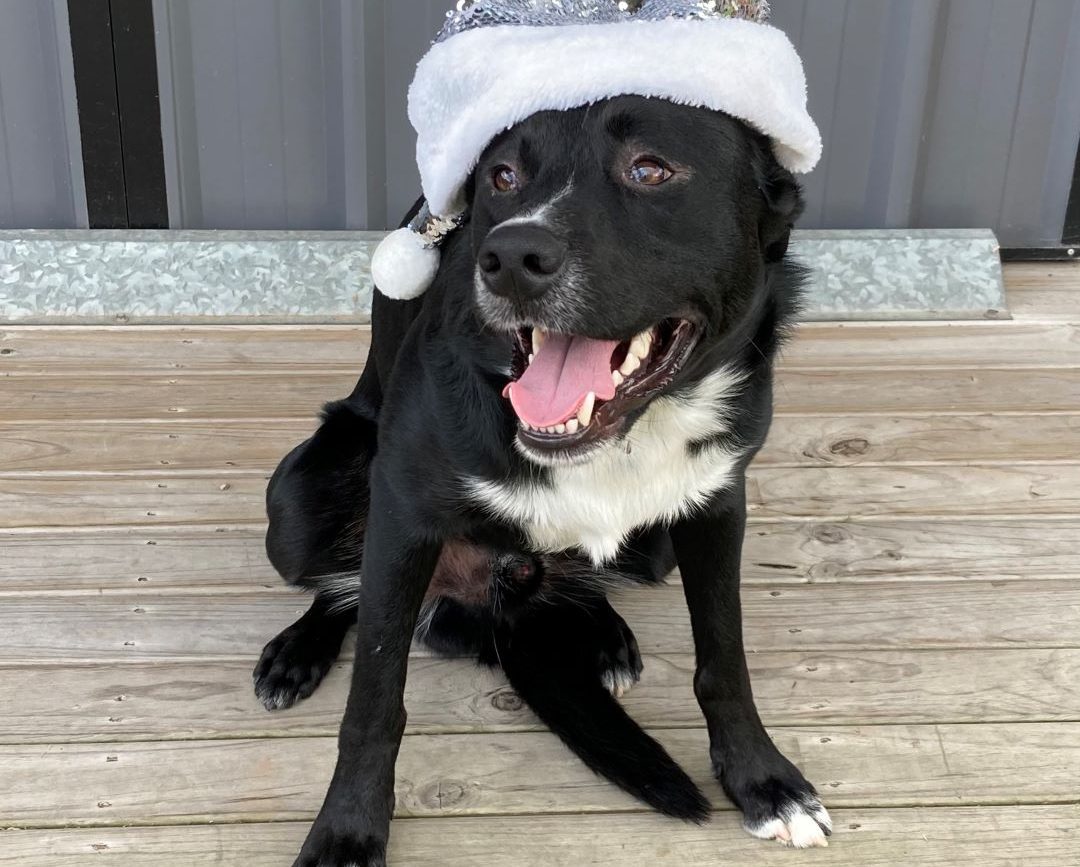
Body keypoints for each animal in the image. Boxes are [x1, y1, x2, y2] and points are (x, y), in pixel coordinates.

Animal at [257, 95, 829, 859]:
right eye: (503, 176)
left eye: (651, 169)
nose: (510, 261)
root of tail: (493, 604)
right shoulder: (403, 512)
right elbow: (374, 701)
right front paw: (347, 830)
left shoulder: (715, 500)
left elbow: (724, 659)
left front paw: (764, 780)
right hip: (299, 500)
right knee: (338, 588)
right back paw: (296, 651)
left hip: (658, 546)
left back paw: (605, 632)